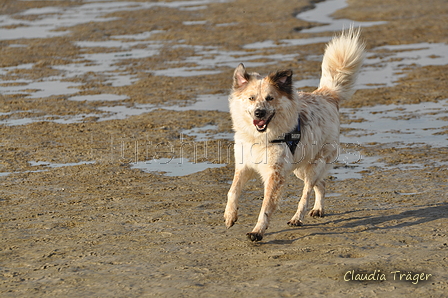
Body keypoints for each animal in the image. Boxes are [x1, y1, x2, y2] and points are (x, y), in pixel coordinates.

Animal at [223, 29, 364, 241]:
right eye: (251, 98)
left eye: (270, 98)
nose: (259, 113)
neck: (261, 138)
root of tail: (326, 94)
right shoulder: (244, 165)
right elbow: (232, 191)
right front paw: (230, 215)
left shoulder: (275, 174)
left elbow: (266, 206)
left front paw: (257, 231)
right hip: (299, 167)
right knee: (321, 184)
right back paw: (318, 210)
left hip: (314, 165)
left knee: (307, 193)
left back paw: (297, 218)